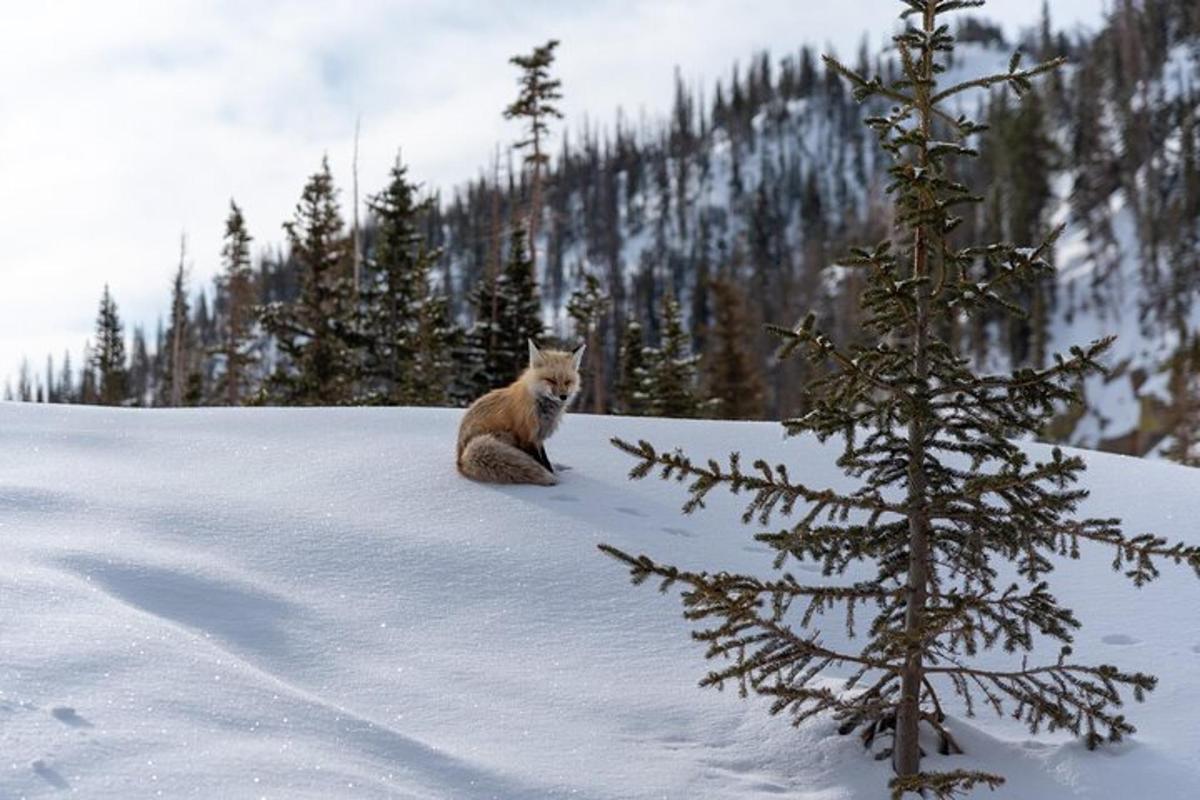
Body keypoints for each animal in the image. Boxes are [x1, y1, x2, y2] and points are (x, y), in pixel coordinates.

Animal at [456, 340, 583, 484]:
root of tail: (460, 460)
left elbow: (545, 459)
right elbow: (539, 460)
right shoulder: (527, 436)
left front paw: (552, 471)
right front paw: (550, 474)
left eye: (568, 382)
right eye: (551, 380)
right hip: (506, 435)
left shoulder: (538, 437)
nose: (563, 396)